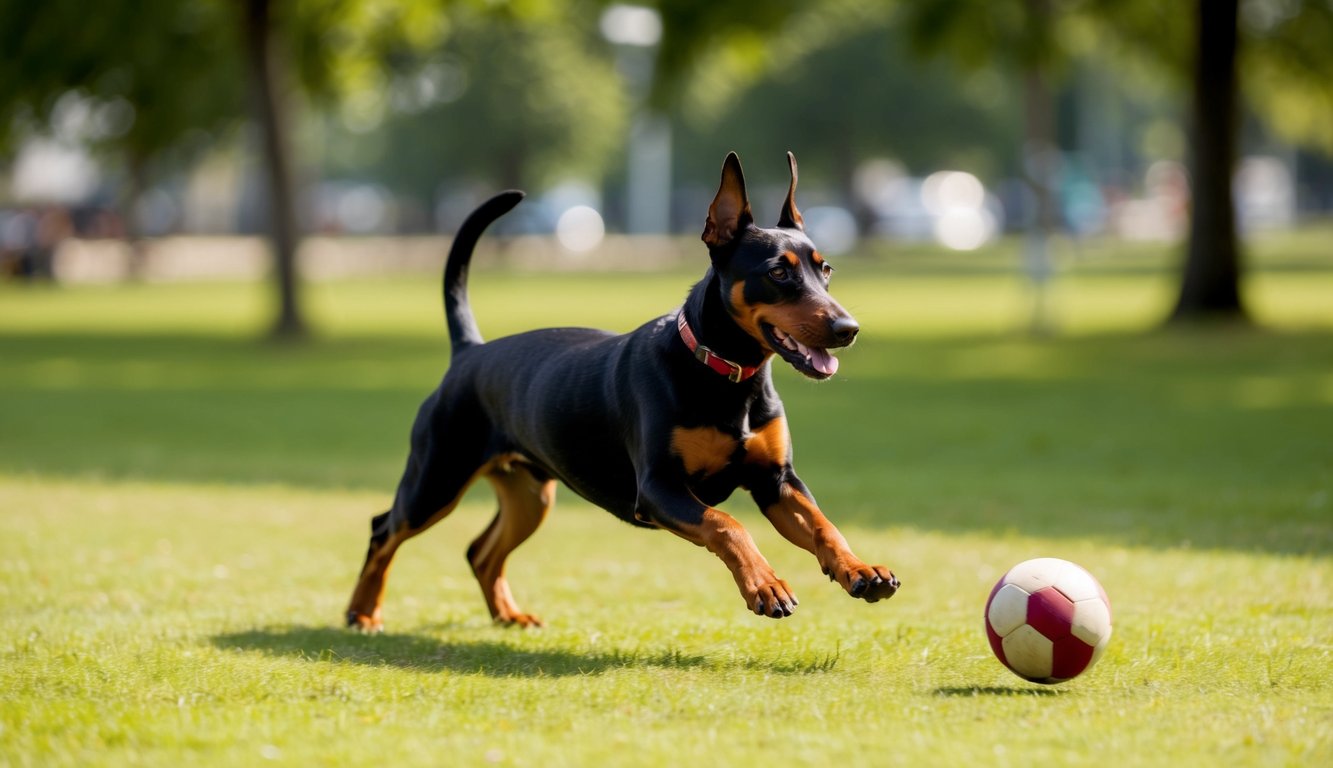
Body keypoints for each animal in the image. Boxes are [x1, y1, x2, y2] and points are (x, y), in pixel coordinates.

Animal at [349, 151, 901, 629]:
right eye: (779, 271)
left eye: (825, 269)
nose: (848, 328)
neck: (724, 375)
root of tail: (469, 352)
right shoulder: (658, 488)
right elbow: (727, 524)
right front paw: (765, 585)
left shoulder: (777, 481)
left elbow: (824, 524)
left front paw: (860, 569)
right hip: (436, 479)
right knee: (383, 529)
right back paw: (363, 613)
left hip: (530, 493)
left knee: (479, 551)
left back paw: (508, 615)